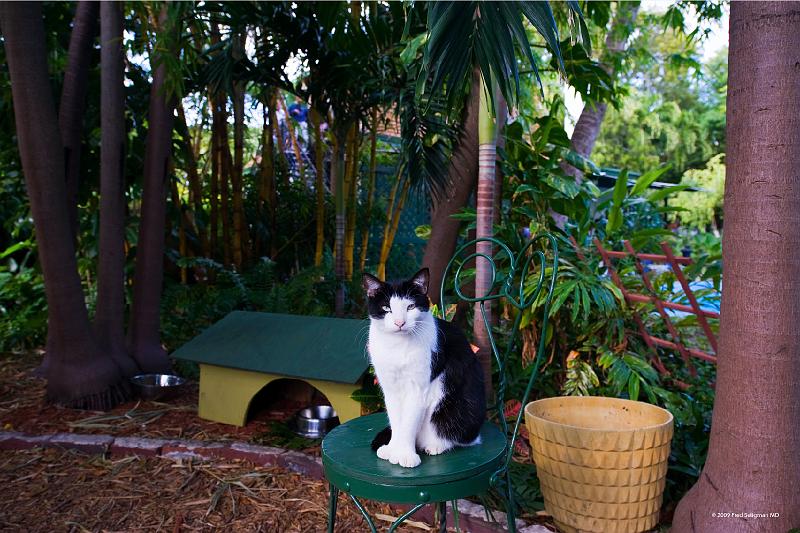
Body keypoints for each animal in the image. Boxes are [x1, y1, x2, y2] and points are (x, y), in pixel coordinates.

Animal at [364, 268, 488, 468]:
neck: (397, 346)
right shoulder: (389, 388)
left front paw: (405, 455)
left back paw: (436, 445)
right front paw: (393, 449)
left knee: (464, 438)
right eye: (386, 308)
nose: (399, 323)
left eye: (410, 307)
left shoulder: (418, 389)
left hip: (457, 409)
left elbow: (408, 423)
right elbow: (396, 421)